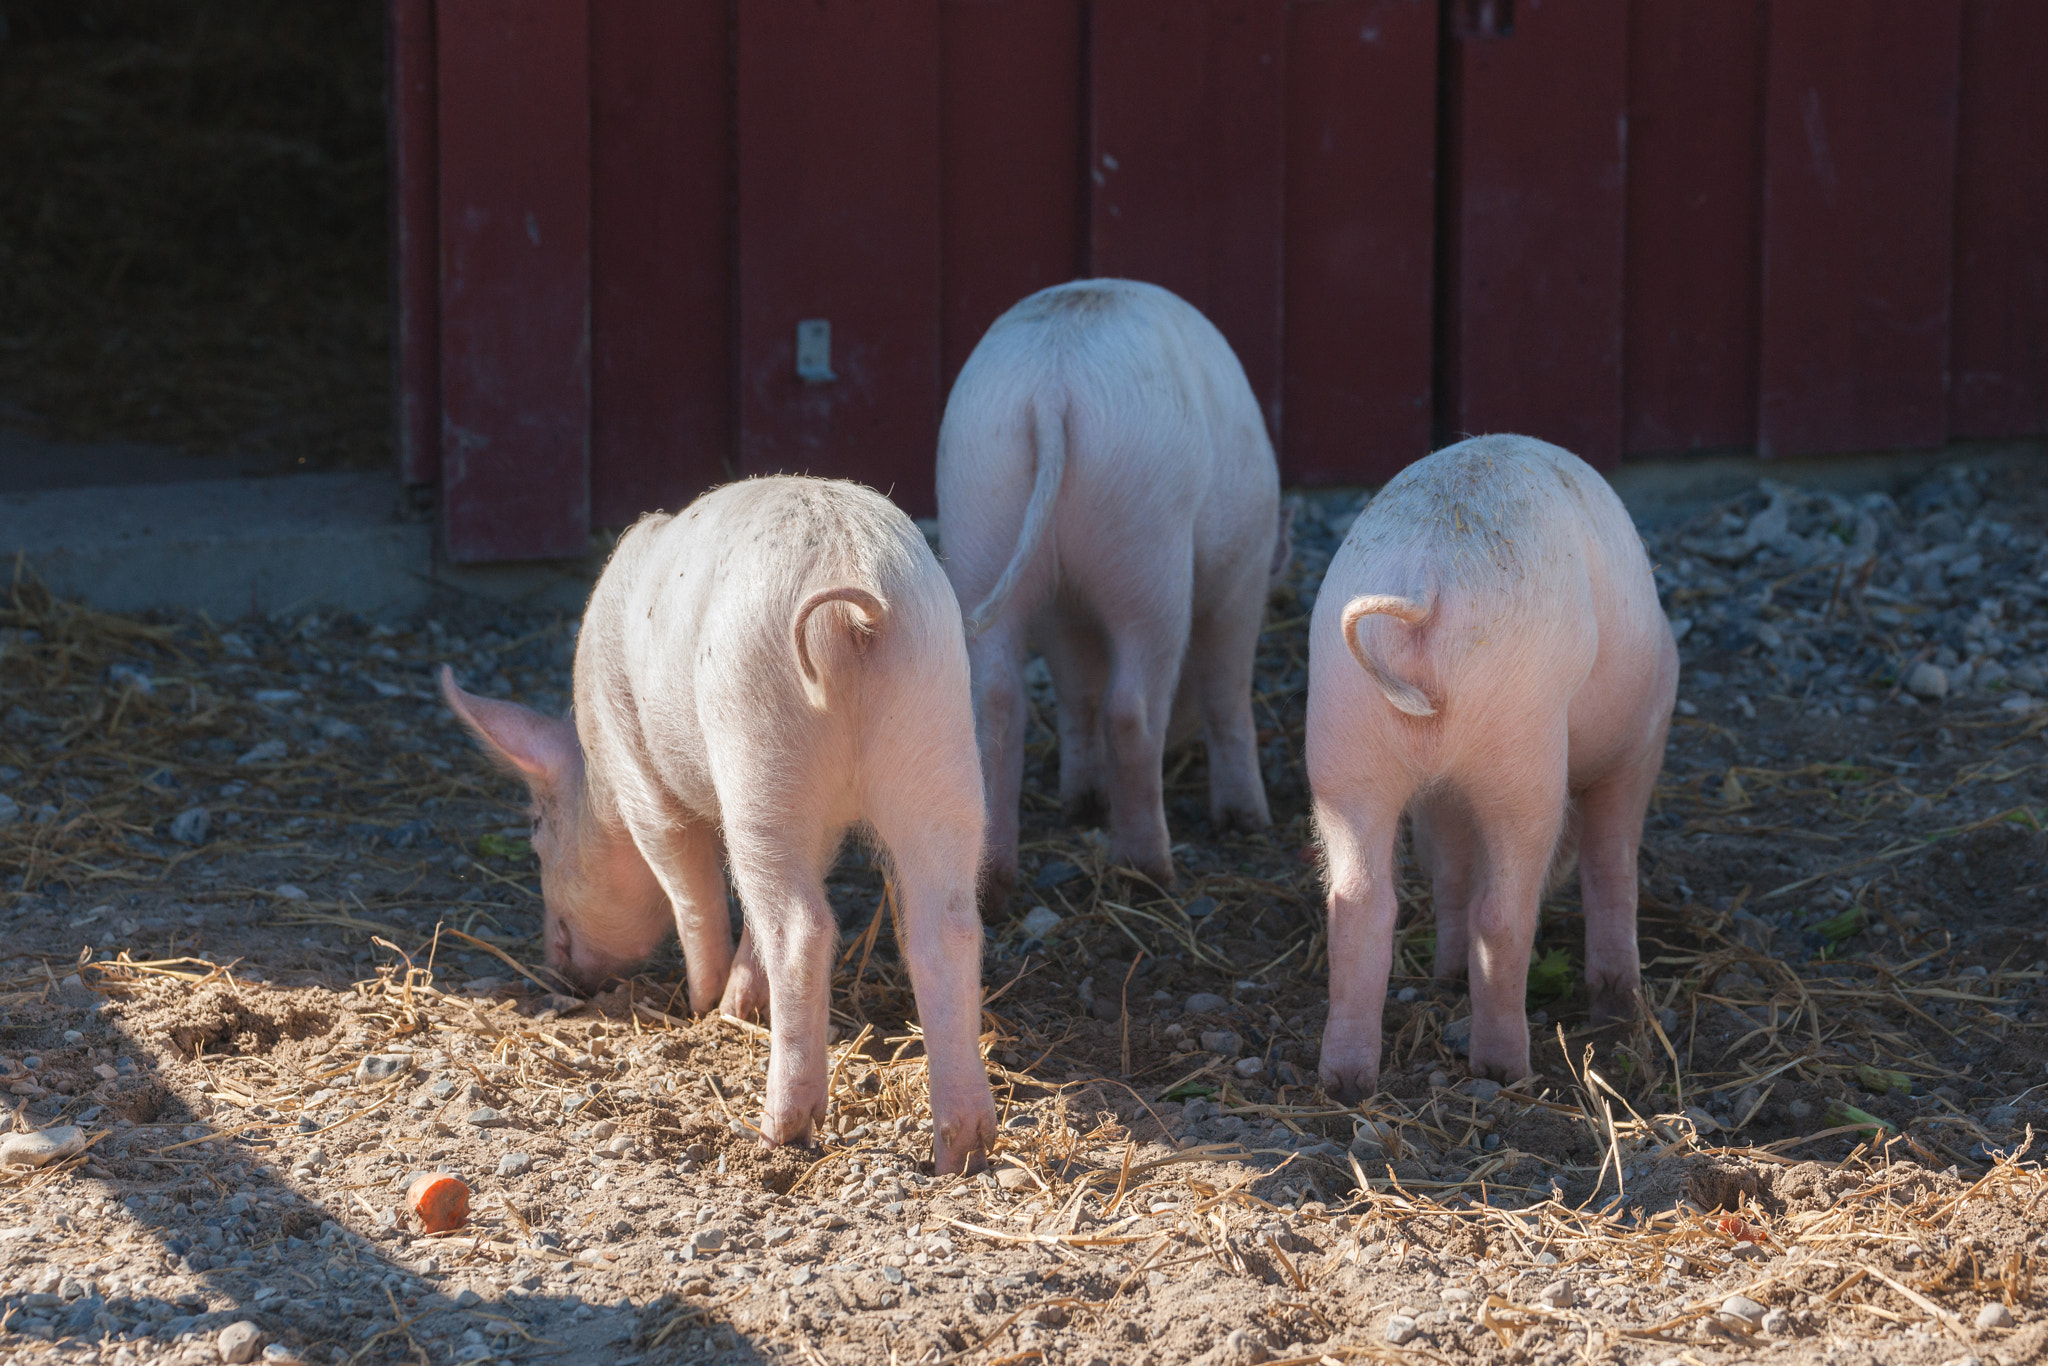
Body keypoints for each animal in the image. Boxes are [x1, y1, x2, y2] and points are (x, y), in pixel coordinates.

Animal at [440, 479, 999, 1179]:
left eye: (537, 835)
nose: (559, 969)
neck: (597, 772)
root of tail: (856, 601)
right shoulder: (819, 823)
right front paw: (736, 1006)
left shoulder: (639, 775)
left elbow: (687, 883)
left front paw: (703, 1009)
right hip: (934, 735)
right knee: (944, 924)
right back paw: (964, 1150)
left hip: (757, 742)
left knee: (801, 927)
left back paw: (776, 1130)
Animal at [937, 280, 1286, 909]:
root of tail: (1053, 386)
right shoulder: (1242, 576)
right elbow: (1227, 693)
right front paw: (1250, 823)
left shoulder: (1063, 613)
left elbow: (1078, 690)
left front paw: (1083, 804)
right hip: (1147, 537)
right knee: (1132, 706)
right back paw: (1152, 875)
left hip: (976, 508)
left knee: (996, 697)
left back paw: (994, 889)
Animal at [1310, 438, 1679, 1097]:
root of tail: (1427, 583)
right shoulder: (1640, 743)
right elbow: (1612, 864)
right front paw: (1618, 1007)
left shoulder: (1442, 797)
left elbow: (1453, 870)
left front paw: (1448, 976)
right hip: (1523, 744)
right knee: (1502, 913)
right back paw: (1508, 1071)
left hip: (1342, 738)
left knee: (1358, 902)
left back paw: (1349, 1082)